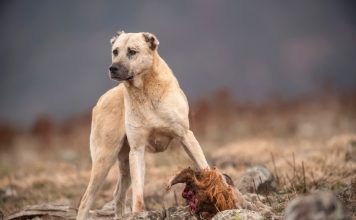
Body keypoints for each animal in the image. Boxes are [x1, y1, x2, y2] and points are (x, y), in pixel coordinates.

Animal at [75, 31, 209, 220]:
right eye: (115, 51)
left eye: (132, 51)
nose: (112, 68)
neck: (145, 92)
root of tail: (101, 99)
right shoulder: (137, 150)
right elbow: (138, 193)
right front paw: (139, 213)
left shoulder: (185, 136)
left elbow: (204, 166)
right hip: (104, 159)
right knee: (86, 200)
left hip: (123, 163)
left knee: (118, 194)